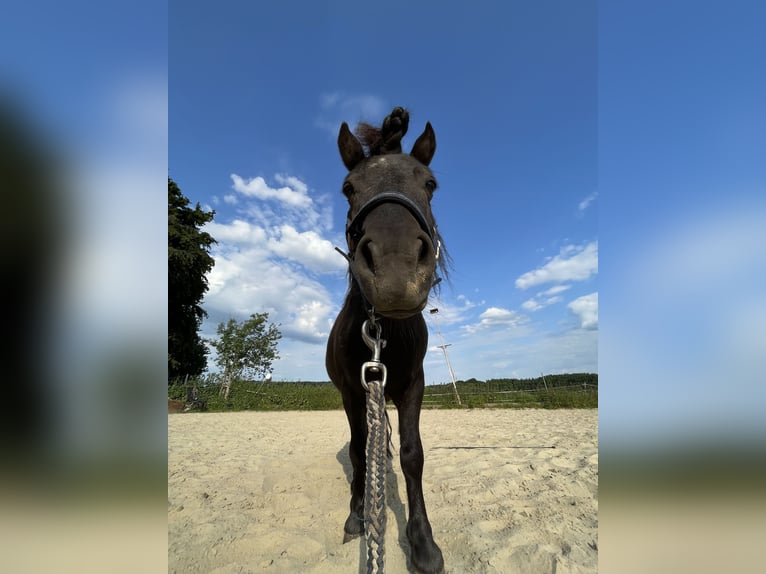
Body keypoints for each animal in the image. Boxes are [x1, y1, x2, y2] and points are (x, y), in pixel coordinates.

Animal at [328, 109, 448, 574]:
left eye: (430, 183)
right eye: (348, 187)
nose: (396, 273)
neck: (386, 334)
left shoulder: (413, 385)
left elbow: (413, 455)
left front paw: (423, 543)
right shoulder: (353, 390)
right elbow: (360, 452)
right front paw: (356, 515)